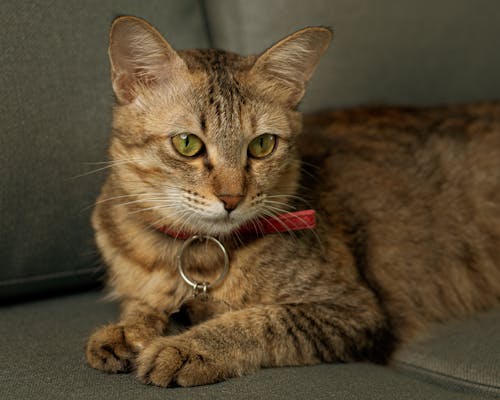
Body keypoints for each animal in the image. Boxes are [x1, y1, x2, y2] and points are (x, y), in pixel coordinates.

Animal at [86, 16, 500, 388]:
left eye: (262, 145)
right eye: (187, 143)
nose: (231, 198)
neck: (194, 258)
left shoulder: (355, 310)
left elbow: (259, 322)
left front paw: (187, 347)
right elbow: (142, 304)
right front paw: (127, 329)